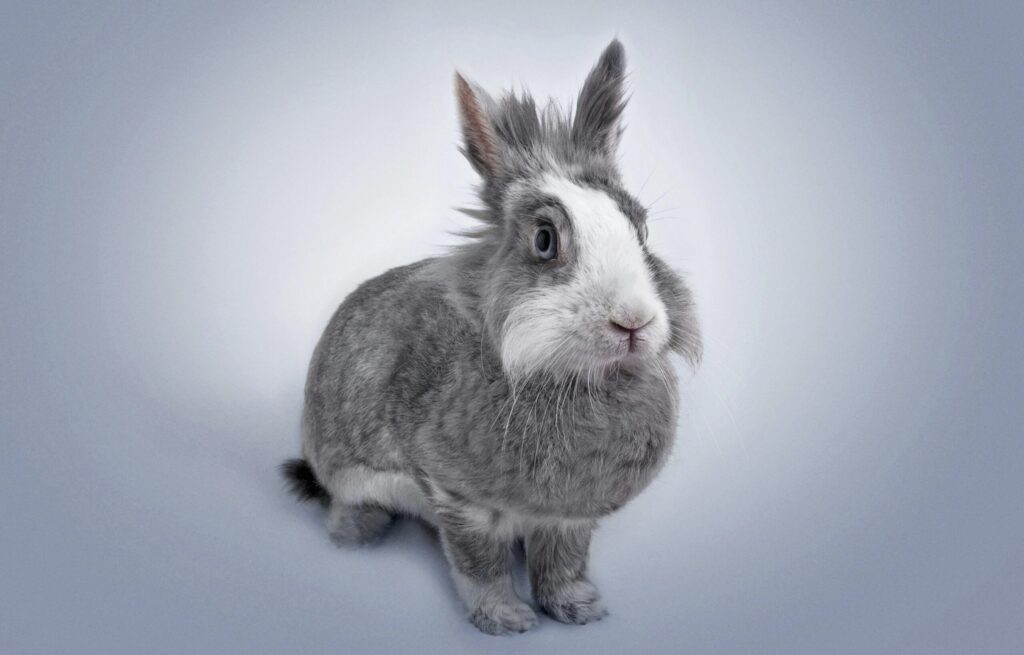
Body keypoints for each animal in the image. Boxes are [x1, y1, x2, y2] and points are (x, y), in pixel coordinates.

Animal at [282, 39, 701, 636]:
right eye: (545, 240)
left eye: (641, 230)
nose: (634, 321)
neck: (569, 377)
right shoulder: (459, 501)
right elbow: (478, 564)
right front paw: (507, 620)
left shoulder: (567, 518)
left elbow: (564, 563)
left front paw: (579, 610)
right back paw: (357, 538)